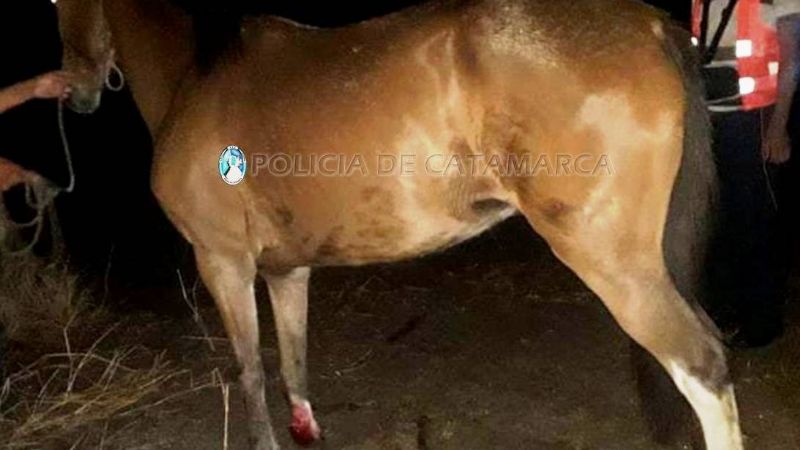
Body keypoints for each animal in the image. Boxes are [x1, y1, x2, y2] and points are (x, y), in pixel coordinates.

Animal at [55, 0, 744, 448]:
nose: (77, 92)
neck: (196, 76)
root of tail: (650, 26)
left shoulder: (222, 262)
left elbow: (250, 372)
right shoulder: (286, 271)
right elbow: (294, 363)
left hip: (613, 262)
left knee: (701, 365)